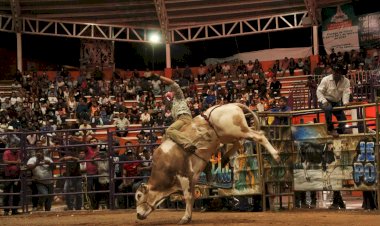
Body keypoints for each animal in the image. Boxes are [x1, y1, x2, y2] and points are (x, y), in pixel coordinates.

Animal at [135, 103, 278, 223]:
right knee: (239, 142)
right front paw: (189, 216)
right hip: (227, 135)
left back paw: (276, 155)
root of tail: (232, 104)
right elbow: (192, 197)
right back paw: (225, 157)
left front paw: (185, 218)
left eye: (138, 195)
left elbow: (187, 196)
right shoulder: (192, 179)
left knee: (259, 136)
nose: (137, 215)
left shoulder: (184, 175)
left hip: (238, 130)